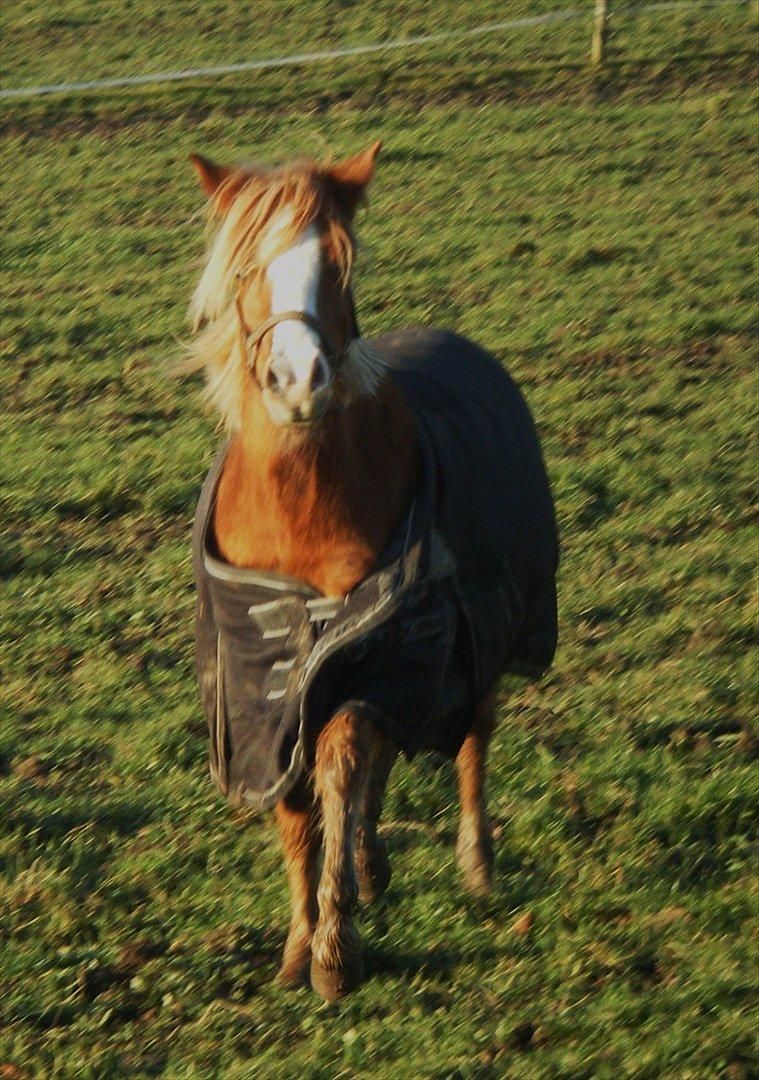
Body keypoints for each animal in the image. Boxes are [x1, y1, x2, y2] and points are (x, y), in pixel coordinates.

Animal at [186, 139, 561, 997]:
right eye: (246, 264)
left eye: (338, 262)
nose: (297, 381)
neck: (298, 510)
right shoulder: (263, 688)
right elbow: (299, 800)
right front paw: (301, 940)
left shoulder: (395, 650)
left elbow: (344, 759)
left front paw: (334, 951)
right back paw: (369, 863)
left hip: (478, 648)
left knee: (468, 739)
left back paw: (473, 863)